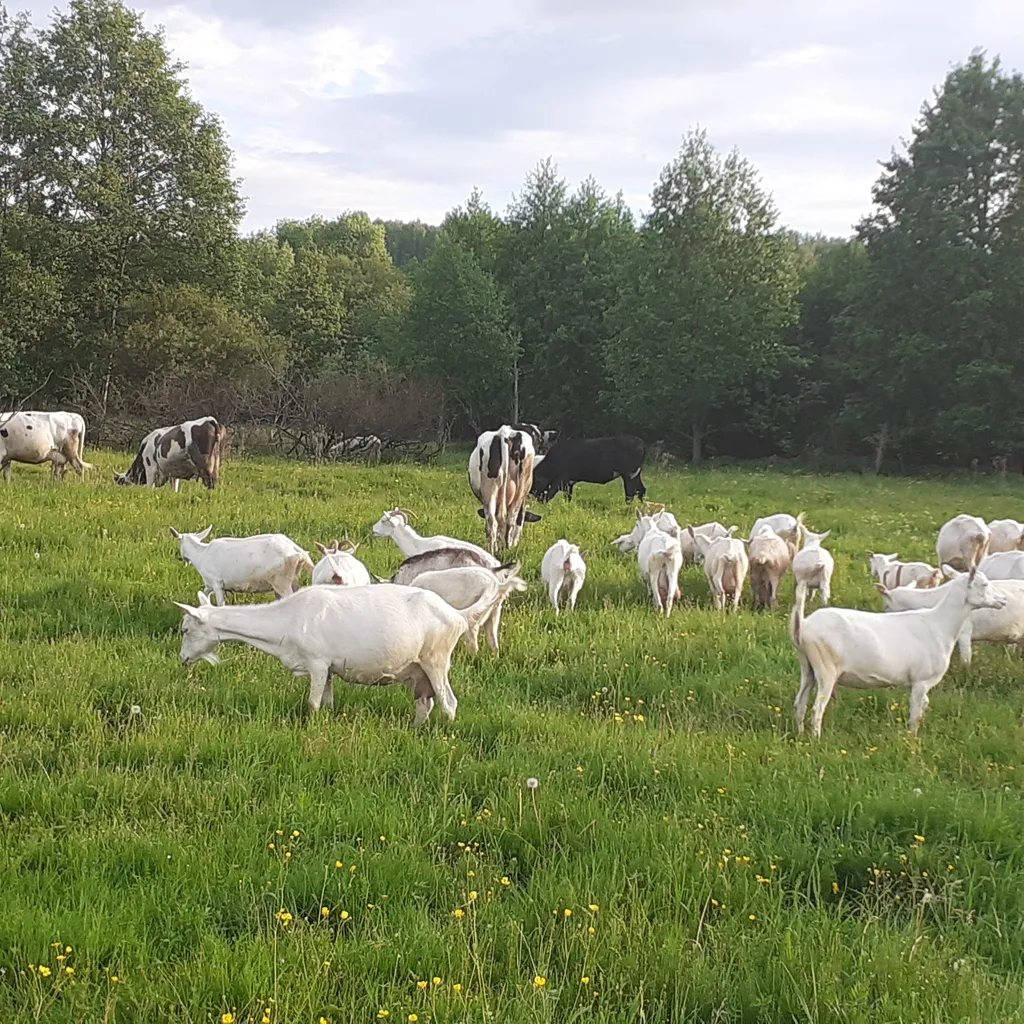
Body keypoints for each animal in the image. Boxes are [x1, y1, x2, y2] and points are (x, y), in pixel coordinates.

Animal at [169, 524, 311, 602]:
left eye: (179, 542)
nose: (183, 559)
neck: (201, 554)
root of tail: (297, 551)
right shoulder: (209, 584)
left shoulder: (217, 582)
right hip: (293, 580)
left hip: (281, 581)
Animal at [790, 569, 999, 737]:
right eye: (984, 584)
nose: (1002, 600)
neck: (940, 624)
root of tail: (804, 624)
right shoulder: (921, 681)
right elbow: (915, 715)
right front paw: (912, 742)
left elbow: (923, 707)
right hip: (826, 668)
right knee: (817, 709)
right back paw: (816, 740)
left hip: (807, 665)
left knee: (800, 702)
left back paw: (800, 735)